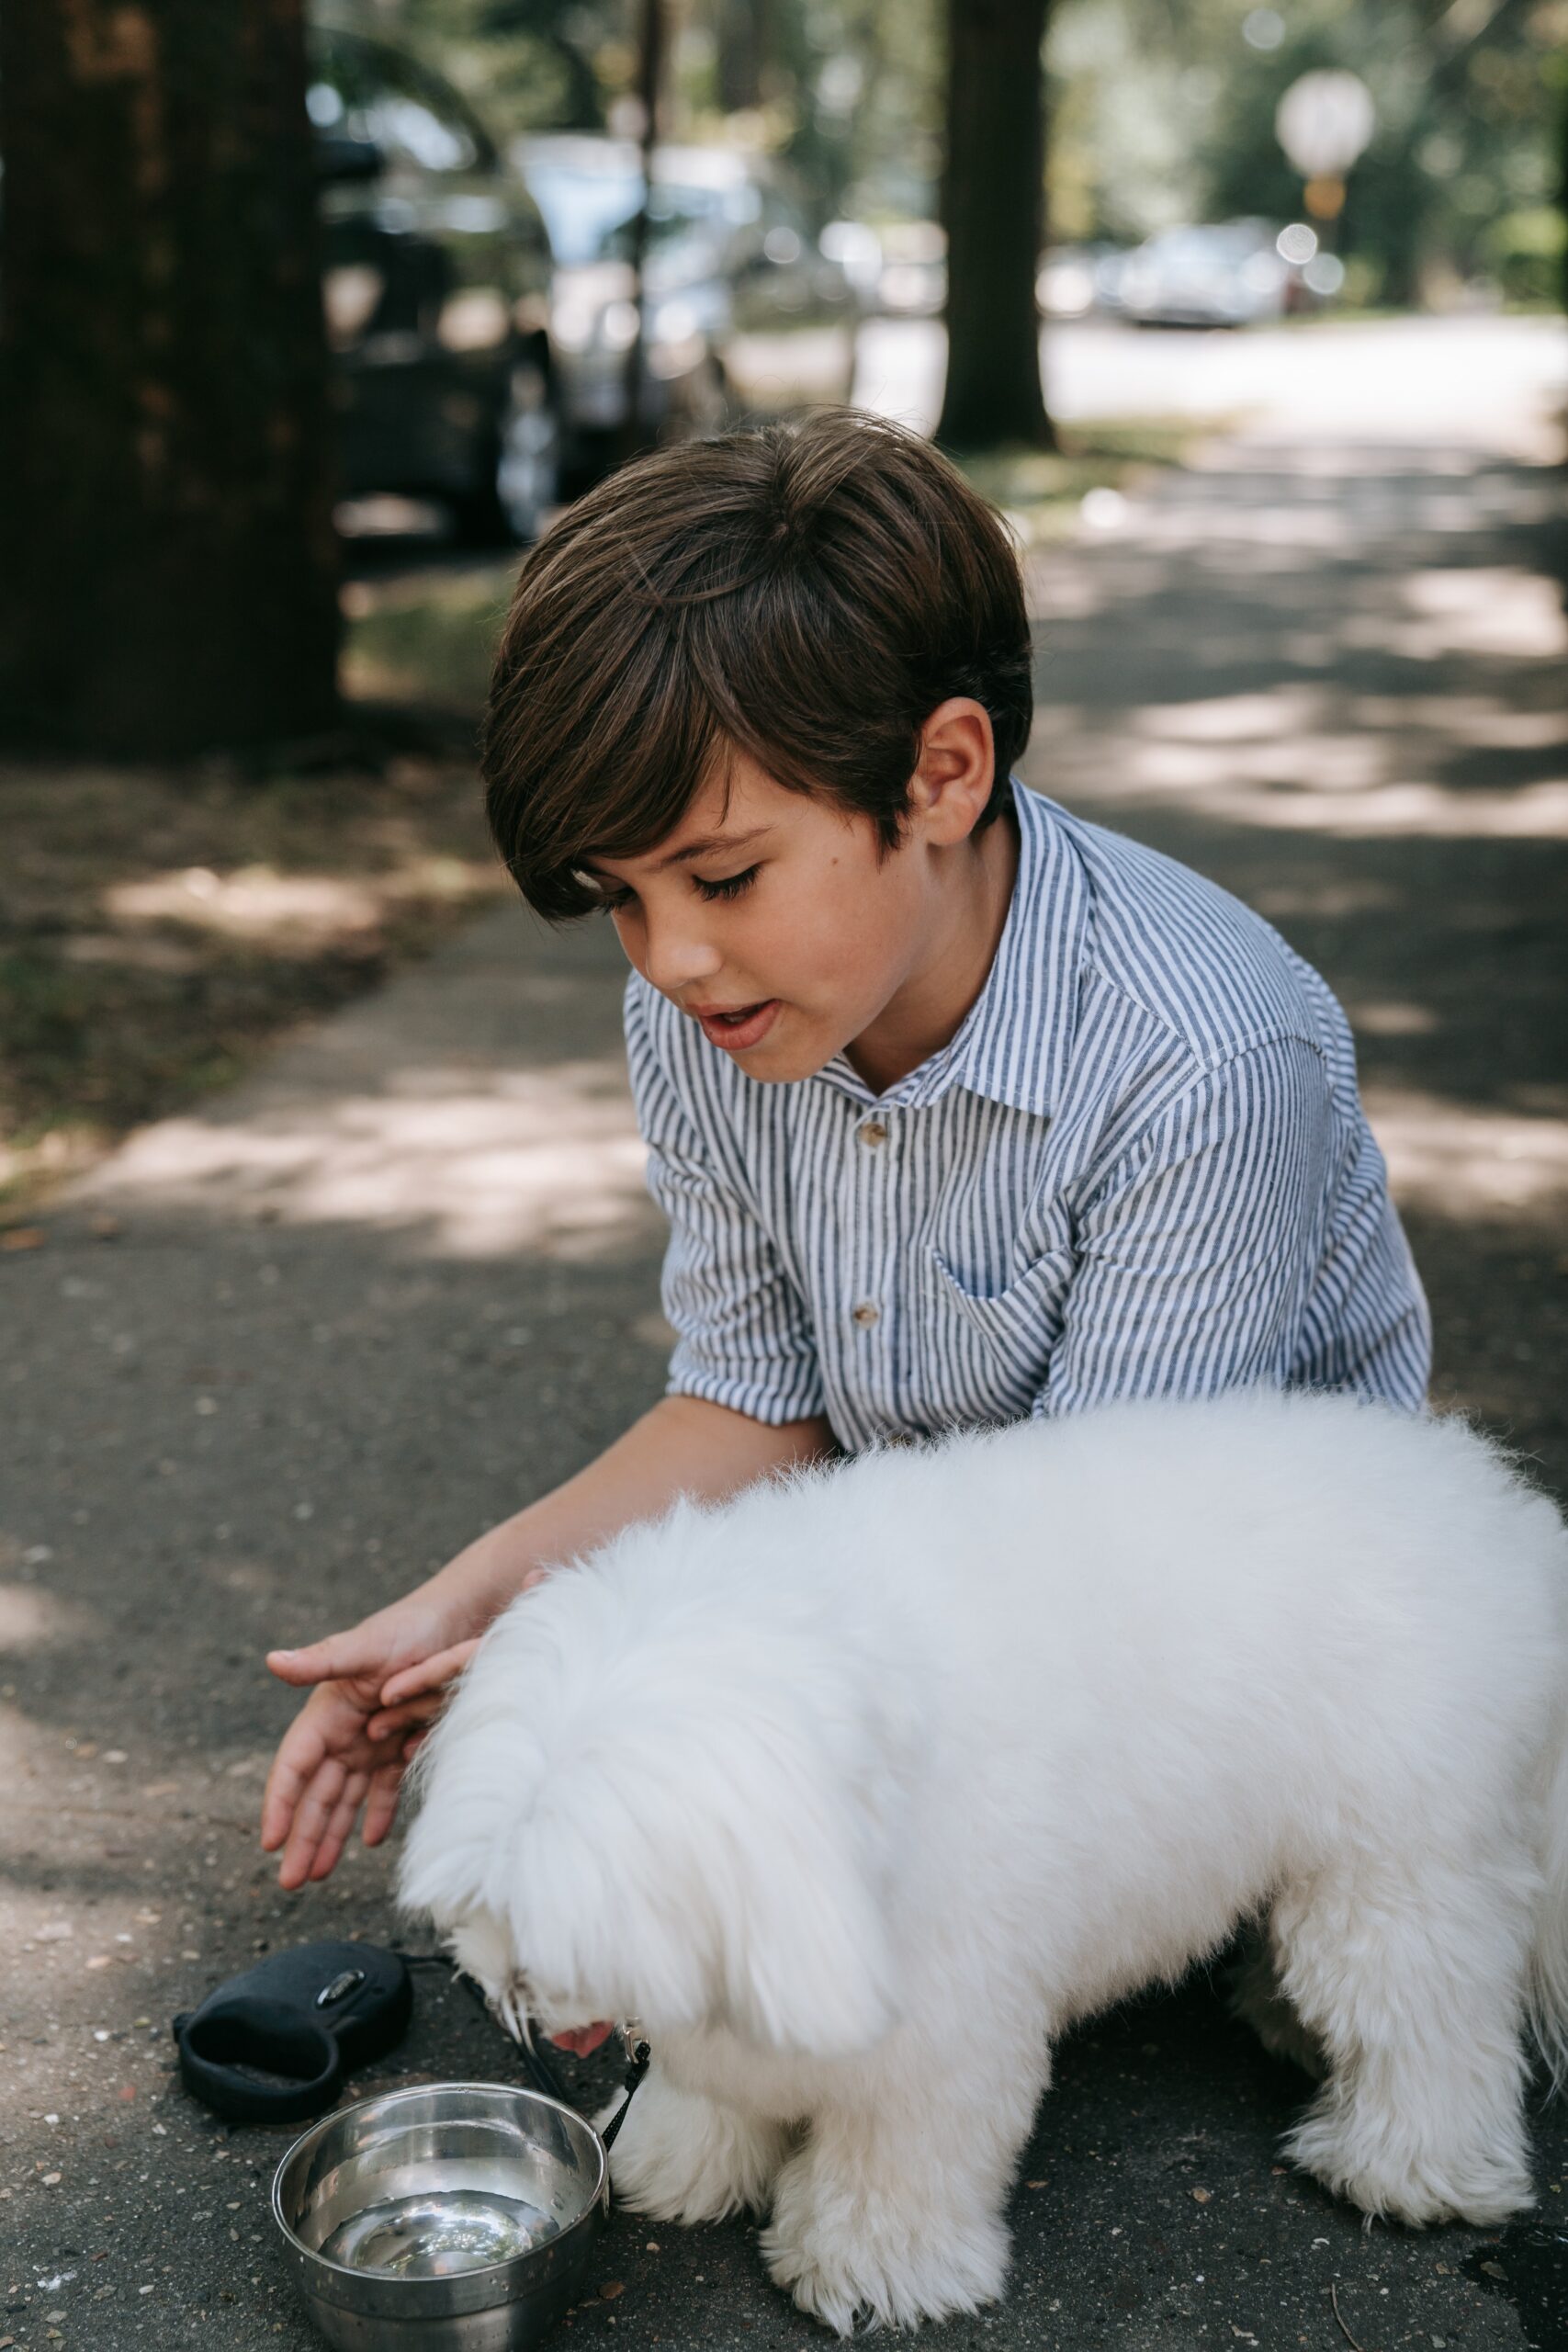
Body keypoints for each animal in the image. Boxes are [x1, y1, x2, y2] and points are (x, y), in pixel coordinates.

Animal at [401, 1392, 1568, 2333]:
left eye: (567, 1920)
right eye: (487, 1902)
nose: (517, 1996)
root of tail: (1499, 1511)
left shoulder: (938, 2024)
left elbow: (897, 2160)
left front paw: (868, 2271)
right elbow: (714, 2094)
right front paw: (677, 2162)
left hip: (1398, 1870)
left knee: (1427, 2022)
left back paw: (1408, 2169)